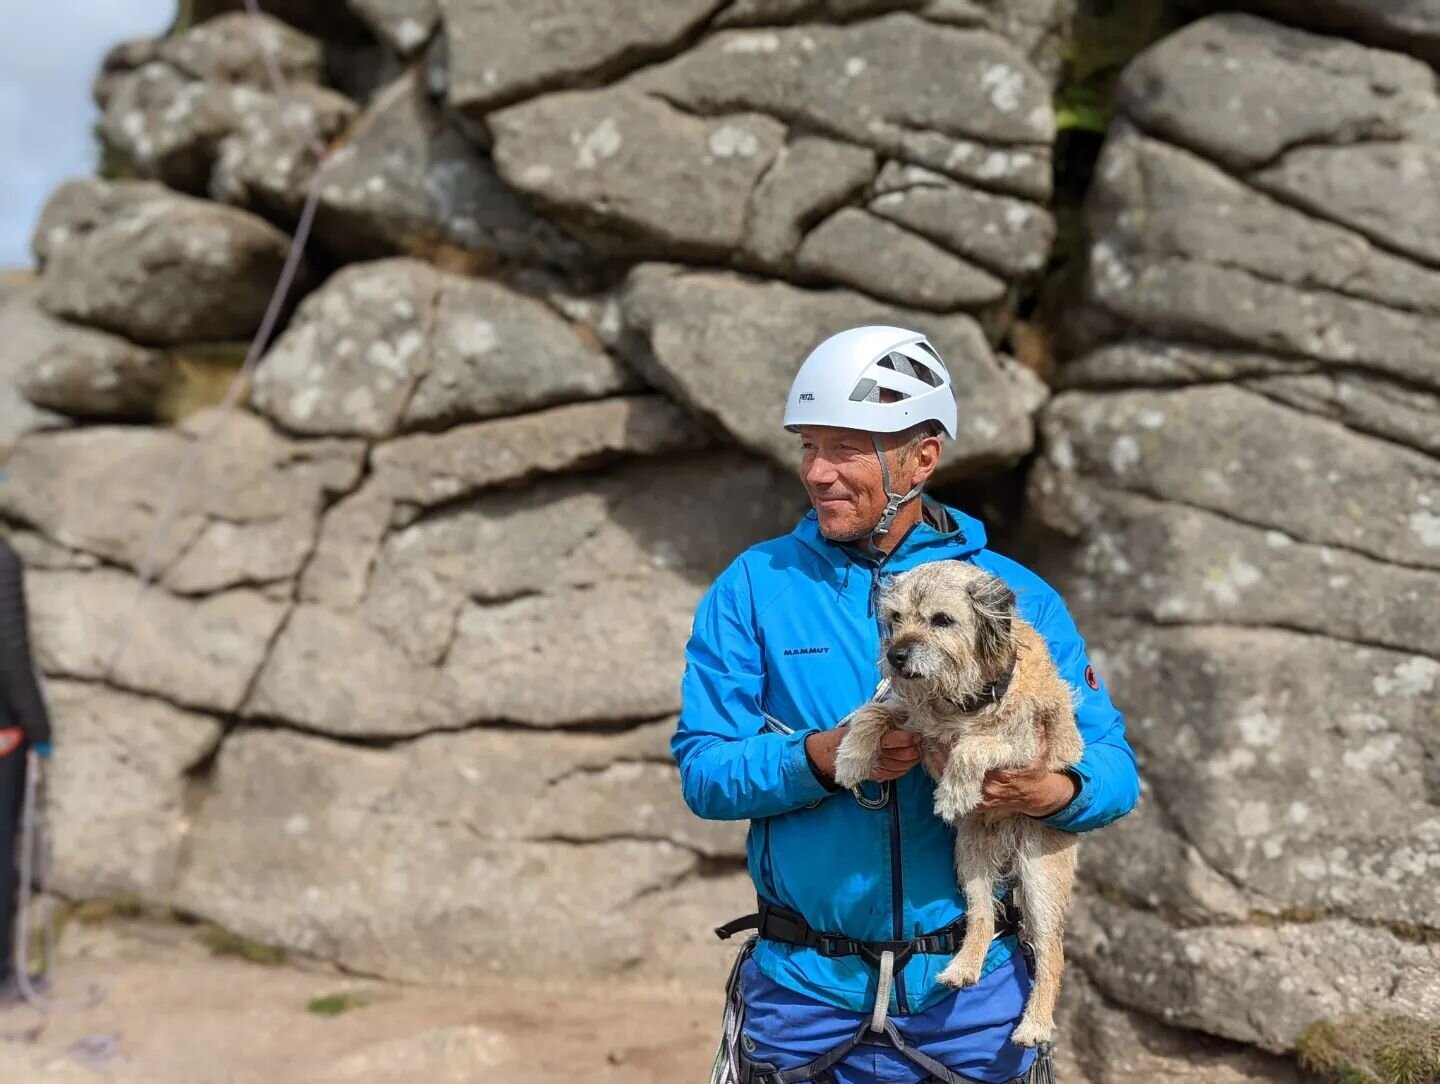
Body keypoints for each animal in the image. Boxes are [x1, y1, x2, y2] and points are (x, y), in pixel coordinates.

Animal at [835, 561, 1082, 1042]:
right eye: (895, 618)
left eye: (942, 620)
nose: (896, 656)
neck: (962, 701)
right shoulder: (909, 717)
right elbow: (873, 713)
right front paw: (851, 757)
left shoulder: (1025, 750)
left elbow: (974, 746)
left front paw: (953, 791)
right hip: (969, 857)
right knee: (983, 917)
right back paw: (962, 969)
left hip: (1040, 876)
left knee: (1052, 951)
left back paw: (1034, 1025)